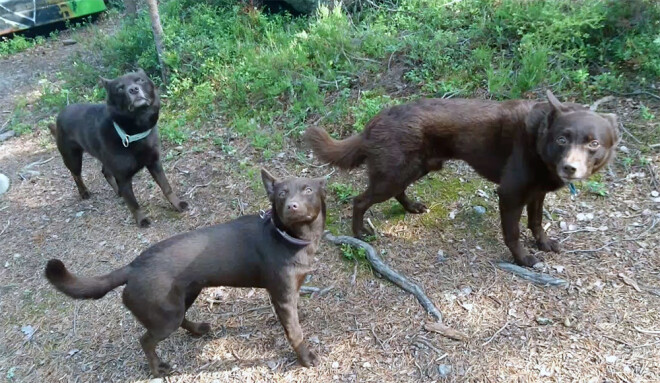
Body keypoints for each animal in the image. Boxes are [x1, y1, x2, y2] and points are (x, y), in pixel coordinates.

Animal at [44, 170, 328, 378]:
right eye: (281, 194)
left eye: (308, 190)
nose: (292, 206)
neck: (289, 238)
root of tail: (133, 266)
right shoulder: (281, 295)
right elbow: (295, 332)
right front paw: (307, 358)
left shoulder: (289, 293)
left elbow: (294, 317)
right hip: (165, 316)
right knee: (145, 340)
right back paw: (157, 369)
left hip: (184, 296)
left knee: (179, 320)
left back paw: (198, 329)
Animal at [48, 68, 186, 228]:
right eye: (120, 88)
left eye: (140, 80)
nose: (133, 89)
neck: (133, 132)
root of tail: (60, 115)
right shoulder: (123, 177)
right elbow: (133, 203)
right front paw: (141, 220)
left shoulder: (154, 163)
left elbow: (166, 187)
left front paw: (177, 204)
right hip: (73, 158)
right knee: (76, 175)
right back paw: (84, 192)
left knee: (105, 171)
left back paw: (117, 192)